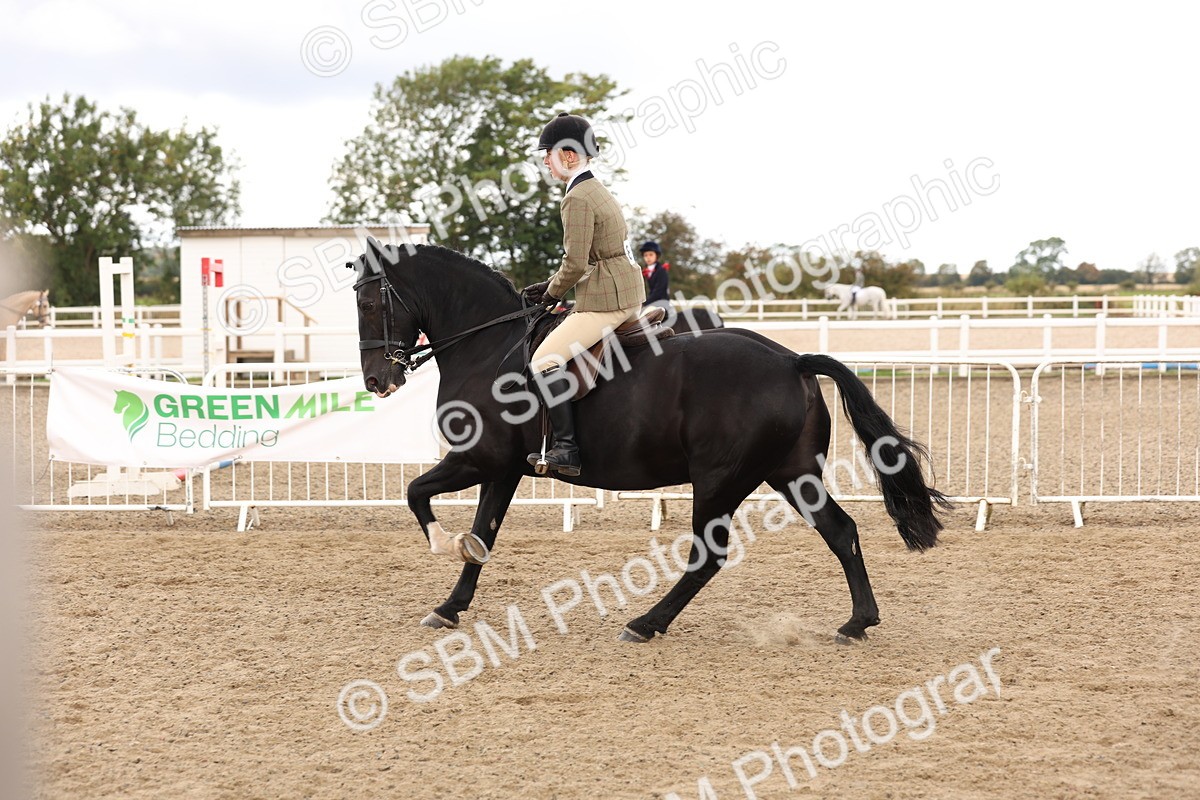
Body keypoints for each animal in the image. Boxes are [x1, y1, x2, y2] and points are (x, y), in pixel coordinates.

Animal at [349, 238, 948, 643]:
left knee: (708, 555)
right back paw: (857, 622)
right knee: (840, 531)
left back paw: (645, 622)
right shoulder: (504, 469)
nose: (377, 381)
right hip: (791, 473)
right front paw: (450, 605)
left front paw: (440, 545)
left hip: (720, 480)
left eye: (370, 304)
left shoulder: (478, 459)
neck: (487, 345)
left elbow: (416, 493)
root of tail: (790, 359)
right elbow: (482, 536)